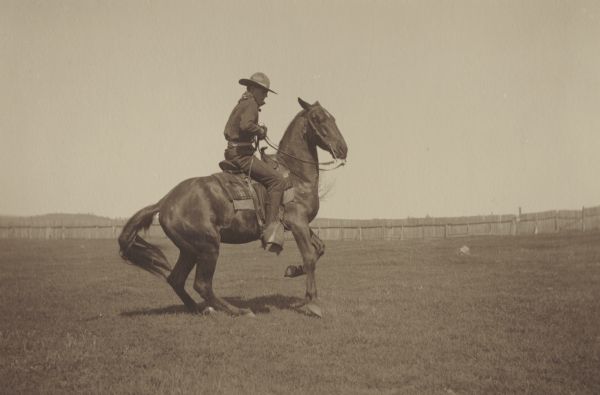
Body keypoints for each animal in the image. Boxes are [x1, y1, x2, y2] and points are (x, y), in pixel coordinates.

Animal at [118, 97, 346, 318]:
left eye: (333, 117)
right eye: (317, 118)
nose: (343, 148)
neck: (295, 176)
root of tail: (165, 201)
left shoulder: (302, 224)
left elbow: (320, 249)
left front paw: (292, 270)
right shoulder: (297, 222)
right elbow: (310, 257)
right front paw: (313, 302)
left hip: (189, 250)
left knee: (176, 279)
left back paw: (200, 310)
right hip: (208, 246)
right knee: (202, 285)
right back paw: (238, 310)